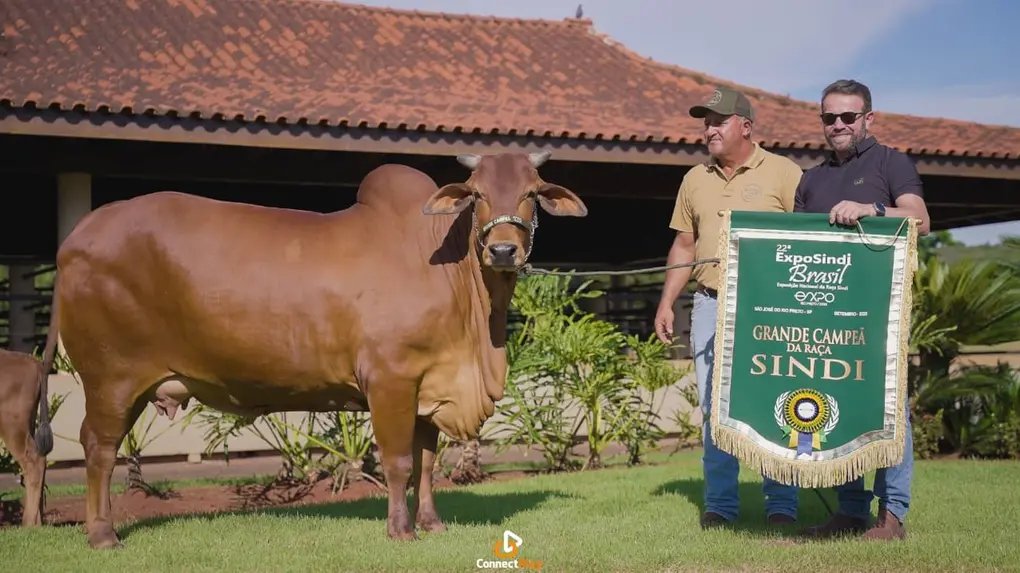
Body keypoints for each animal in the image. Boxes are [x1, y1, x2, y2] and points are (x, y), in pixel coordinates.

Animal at [43, 151, 587, 549]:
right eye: (476, 194)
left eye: (532, 192)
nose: (503, 250)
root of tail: (78, 235)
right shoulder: (391, 379)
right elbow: (398, 462)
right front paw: (401, 529)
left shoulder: (430, 385)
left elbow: (428, 463)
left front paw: (432, 523)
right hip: (112, 377)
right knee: (99, 446)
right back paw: (103, 534)